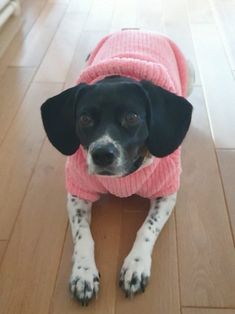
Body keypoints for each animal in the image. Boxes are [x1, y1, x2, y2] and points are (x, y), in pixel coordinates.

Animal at [40, 29, 195, 304]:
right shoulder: (77, 193)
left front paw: (136, 265)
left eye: (132, 117)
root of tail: (136, 29)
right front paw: (83, 272)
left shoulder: (166, 193)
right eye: (84, 118)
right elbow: (82, 234)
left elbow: (147, 228)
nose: (102, 154)